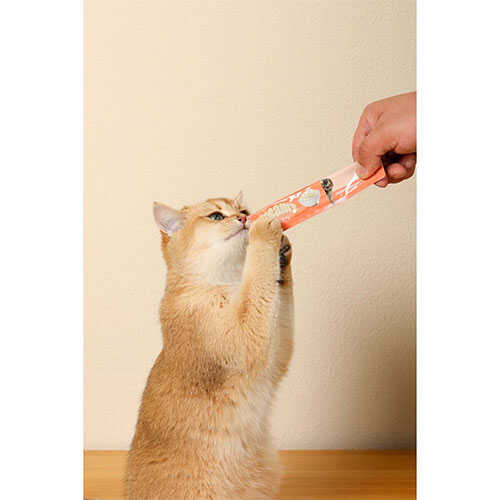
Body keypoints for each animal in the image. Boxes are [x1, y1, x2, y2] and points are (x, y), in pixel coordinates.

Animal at [125, 192, 294, 500]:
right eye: (216, 216)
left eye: (243, 209)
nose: (244, 218)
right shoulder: (247, 338)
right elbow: (257, 283)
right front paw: (264, 231)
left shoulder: (275, 359)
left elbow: (276, 299)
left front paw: (282, 254)